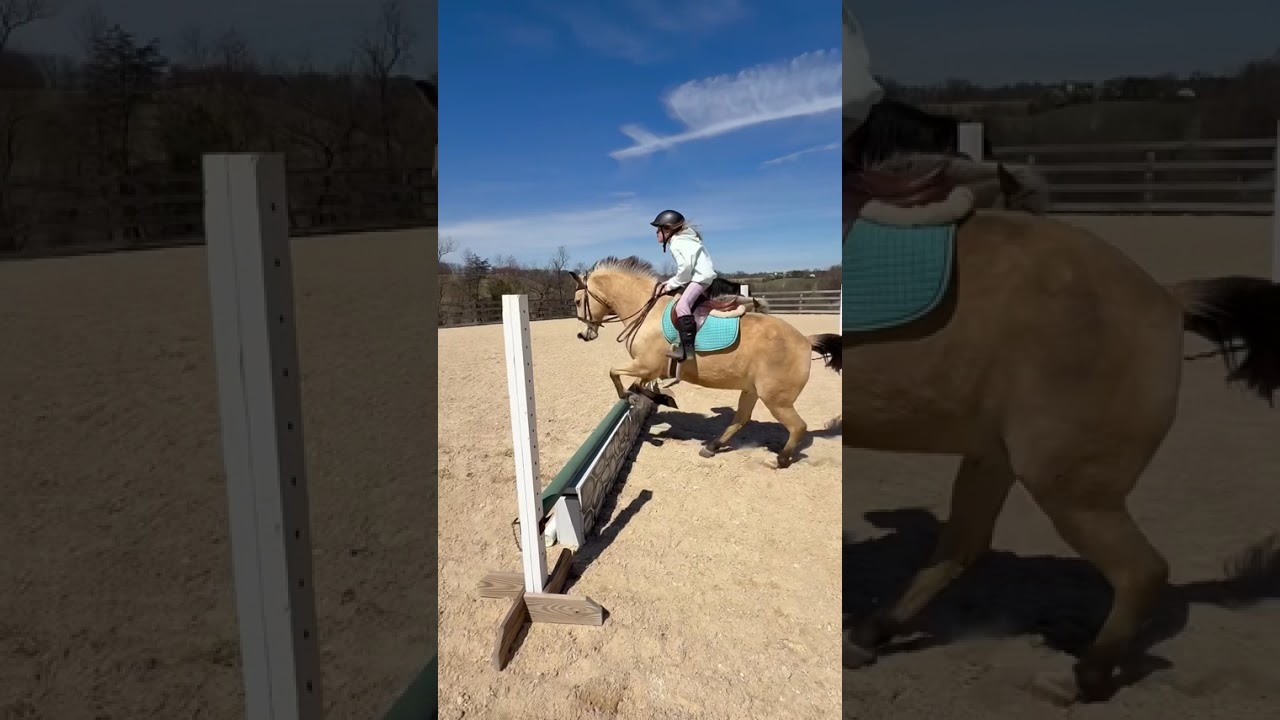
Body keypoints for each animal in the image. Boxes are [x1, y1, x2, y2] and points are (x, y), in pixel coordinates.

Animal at [568, 256, 842, 469]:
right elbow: (639, 385)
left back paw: (779, 460)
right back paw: (712, 446)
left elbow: (615, 373)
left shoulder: (645, 364)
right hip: (751, 390)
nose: (583, 335)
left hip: (776, 399)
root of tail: (805, 340)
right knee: (741, 419)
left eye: (578, 301)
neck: (647, 312)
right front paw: (660, 397)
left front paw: (631, 397)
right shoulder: (650, 369)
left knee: (798, 427)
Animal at [841, 151, 1280, 703]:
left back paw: (1081, 678)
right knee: (960, 548)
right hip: (996, 459)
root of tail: (1167, 297)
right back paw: (867, 636)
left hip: (1069, 487)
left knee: (1142, 572)